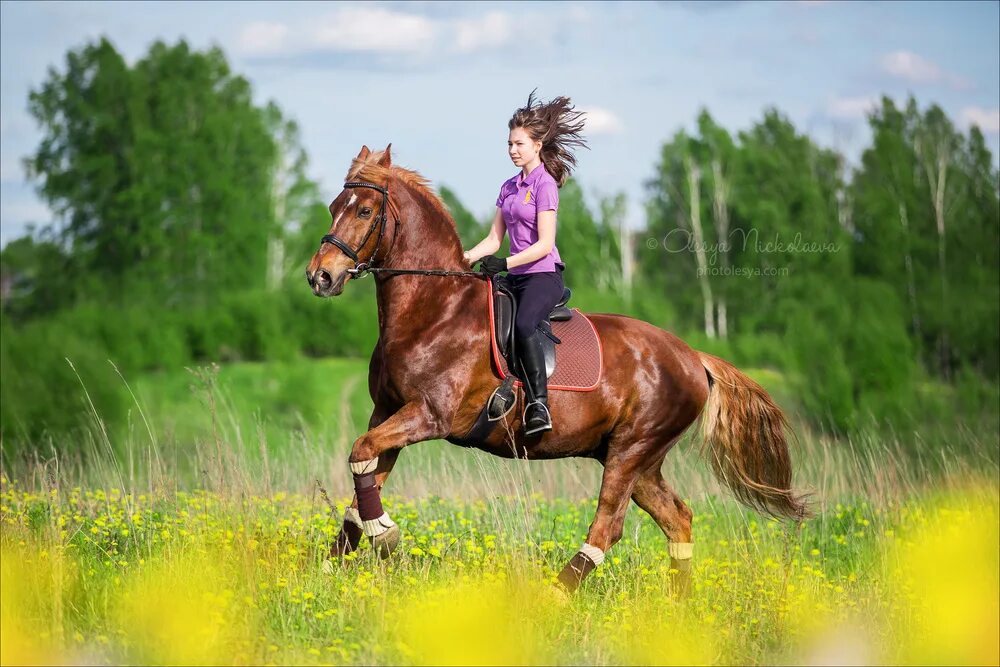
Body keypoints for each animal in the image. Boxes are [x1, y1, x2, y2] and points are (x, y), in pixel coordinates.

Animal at [304, 146, 812, 596]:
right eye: (333, 207)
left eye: (364, 210)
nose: (319, 276)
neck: (434, 310)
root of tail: (692, 356)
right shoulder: (388, 413)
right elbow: (362, 479)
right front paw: (328, 572)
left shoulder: (429, 415)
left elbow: (360, 453)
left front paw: (384, 537)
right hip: (640, 461)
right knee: (678, 519)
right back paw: (678, 610)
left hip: (632, 450)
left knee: (608, 525)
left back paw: (554, 597)